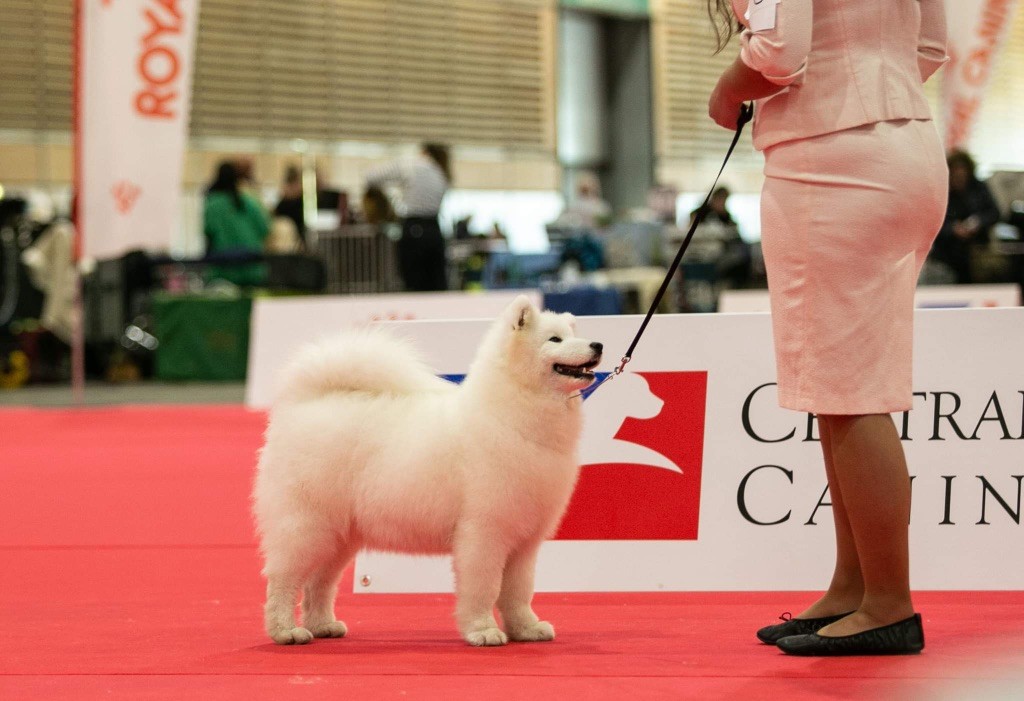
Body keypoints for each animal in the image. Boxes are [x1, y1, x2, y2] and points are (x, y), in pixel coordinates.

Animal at [251, 294, 598, 646]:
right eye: (554, 340)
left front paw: (526, 629)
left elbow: (518, 591)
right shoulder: (484, 532)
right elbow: (484, 587)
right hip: (306, 525)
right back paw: (286, 631)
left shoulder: (523, 540)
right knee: (283, 579)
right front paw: (483, 630)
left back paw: (324, 625)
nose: (597, 344)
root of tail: (303, 404)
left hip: (338, 534)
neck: (509, 415)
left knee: (319, 582)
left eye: (574, 335)